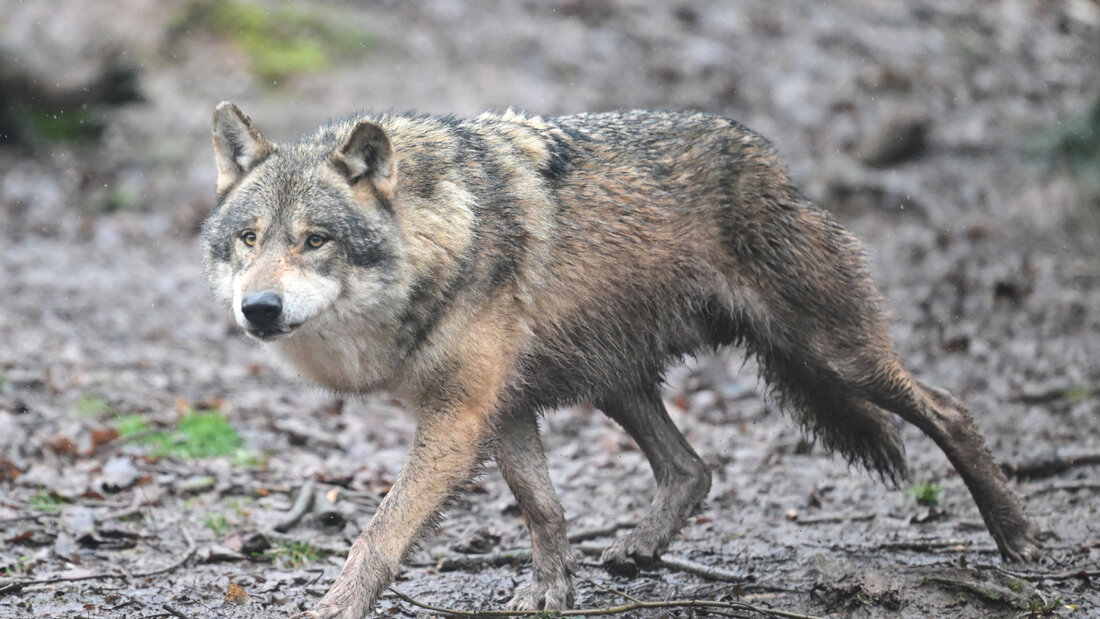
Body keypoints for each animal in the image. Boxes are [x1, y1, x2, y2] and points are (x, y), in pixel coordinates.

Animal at [202, 102, 1041, 618]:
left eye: (315, 239)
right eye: (249, 238)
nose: (258, 308)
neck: (440, 237)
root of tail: (774, 163)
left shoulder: (459, 414)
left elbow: (379, 533)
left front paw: (335, 604)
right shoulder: (503, 407)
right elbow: (543, 506)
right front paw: (550, 592)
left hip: (834, 356)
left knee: (950, 408)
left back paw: (1017, 537)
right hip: (614, 381)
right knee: (693, 467)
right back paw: (638, 549)